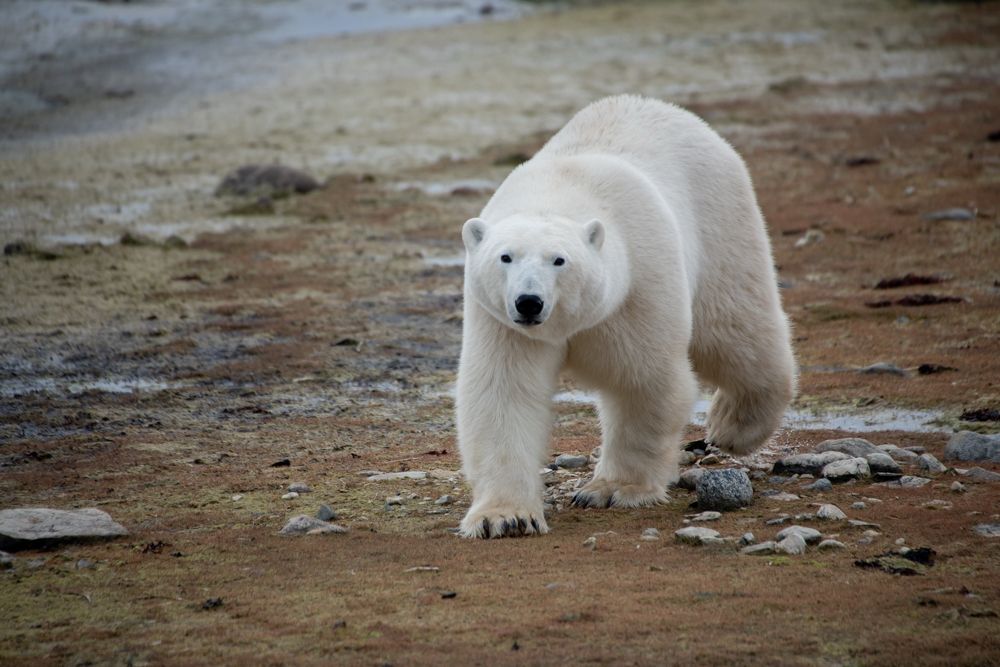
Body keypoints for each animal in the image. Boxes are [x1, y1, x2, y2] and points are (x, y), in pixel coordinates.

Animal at [456, 95, 796, 538]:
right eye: (505, 256)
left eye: (559, 260)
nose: (529, 302)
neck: (559, 189)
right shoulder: (500, 322)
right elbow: (502, 394)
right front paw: (505, 517)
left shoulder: (636, 286)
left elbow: (642, 381)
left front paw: (612, 489)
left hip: (721, 221)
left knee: (733, 330)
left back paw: (733, 426)